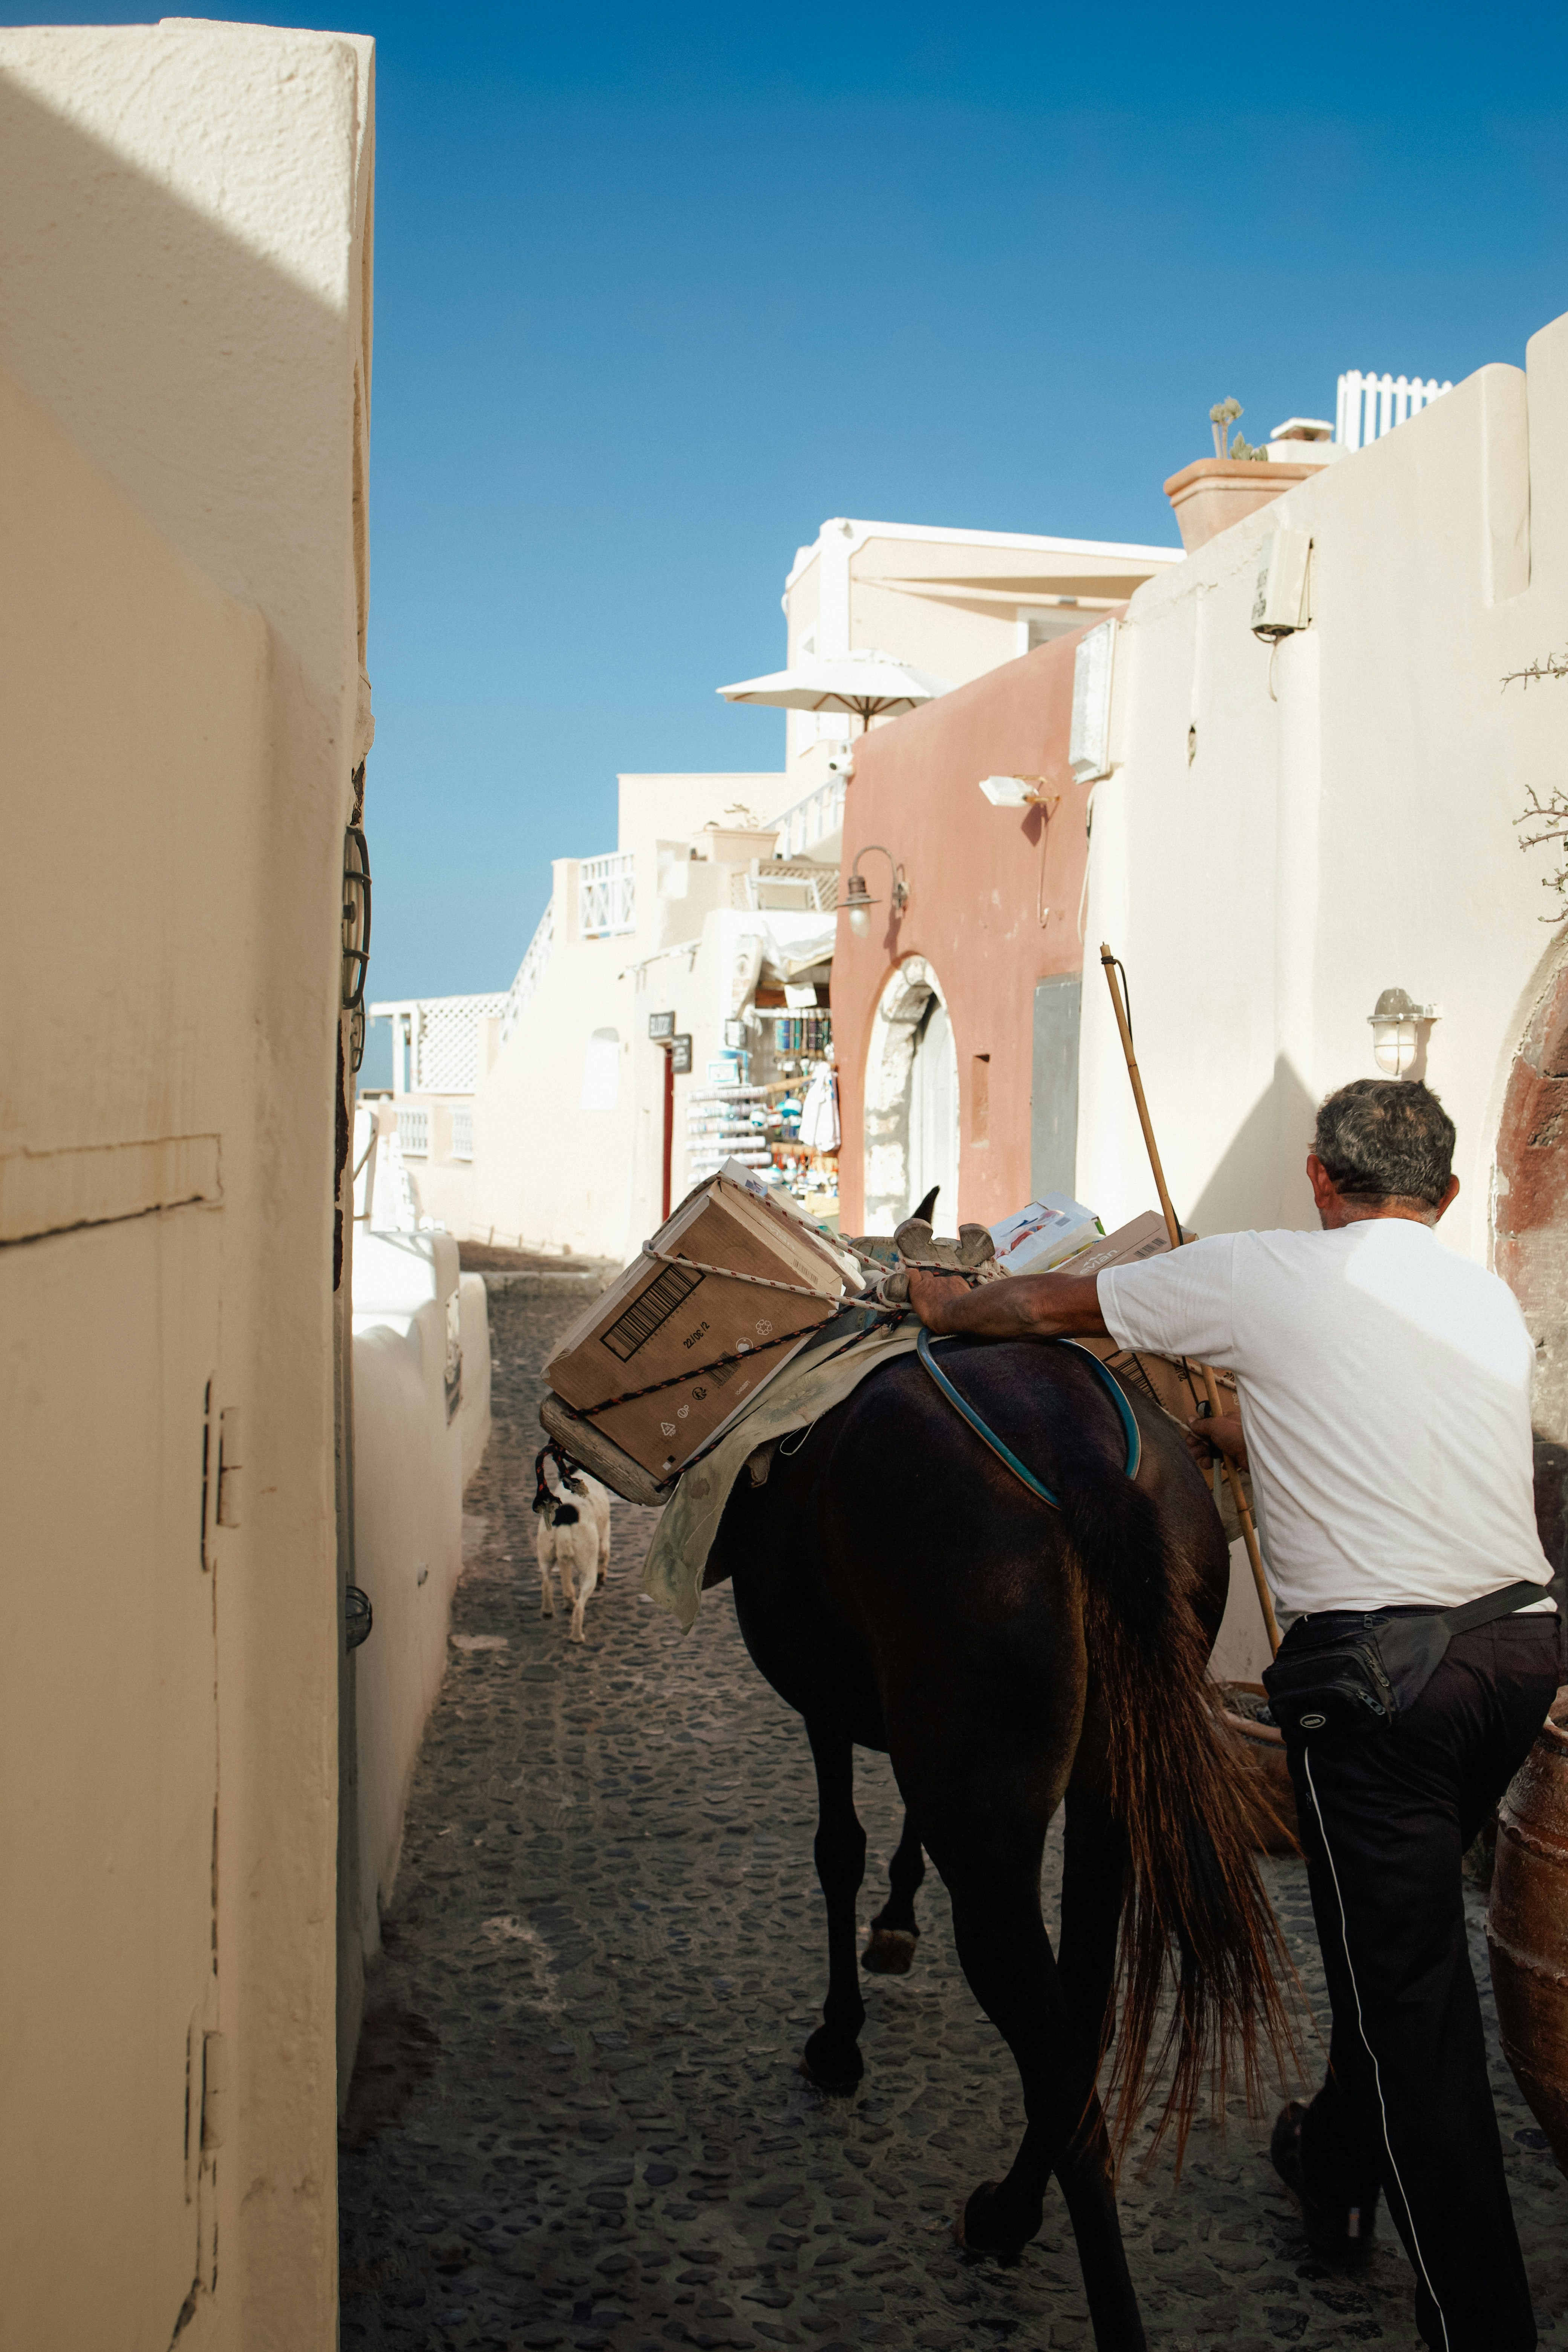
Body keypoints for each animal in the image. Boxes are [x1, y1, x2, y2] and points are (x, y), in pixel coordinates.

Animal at [701, 1330, 1293, 2351]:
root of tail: (1081, 1454)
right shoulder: (915, 1738)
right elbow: (894, 1836)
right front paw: (895, 1922)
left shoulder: (828, 1702)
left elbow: (837, 1849)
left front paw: (839, 2039)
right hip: (1105, 1793)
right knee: (1082, 2012)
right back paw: (1011, 2207)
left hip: (988, 1834)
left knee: (1058, 2065)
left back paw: (1028, 2240)